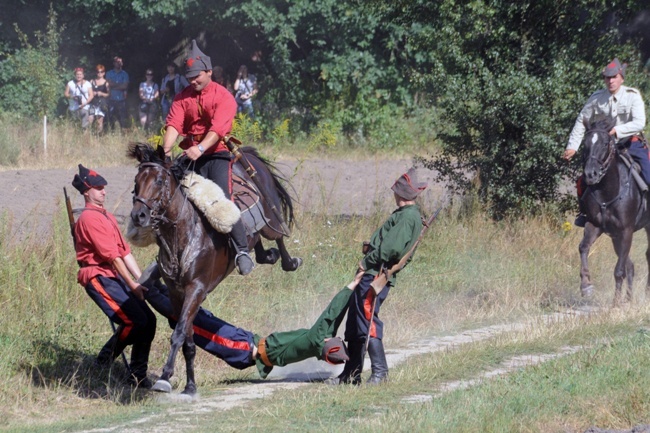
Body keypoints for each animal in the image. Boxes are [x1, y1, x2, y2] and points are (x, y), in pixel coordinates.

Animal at [127, 143, 302, 394]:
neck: (183, 234)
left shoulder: (196, 289)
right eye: (137, 181)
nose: (138, 216)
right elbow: (188, 339)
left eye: (159, 181)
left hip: (271, 217)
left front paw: (165, 377)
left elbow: (178, 333)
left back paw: (289, 261)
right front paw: (190, 386)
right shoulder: (177, 294)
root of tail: (247, 156)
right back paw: (262, 256)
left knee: (279, 235)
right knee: (255, 244)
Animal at [576, 118, 648, 304]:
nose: (591, 174)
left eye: (605, 143)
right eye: (585, 143)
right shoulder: (595, 225)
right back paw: (629, 298)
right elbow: (583, 247)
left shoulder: (626, 231)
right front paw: (586, 285)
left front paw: (615, 303)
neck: (607, 191)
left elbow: (619, 270)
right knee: (631, 265)